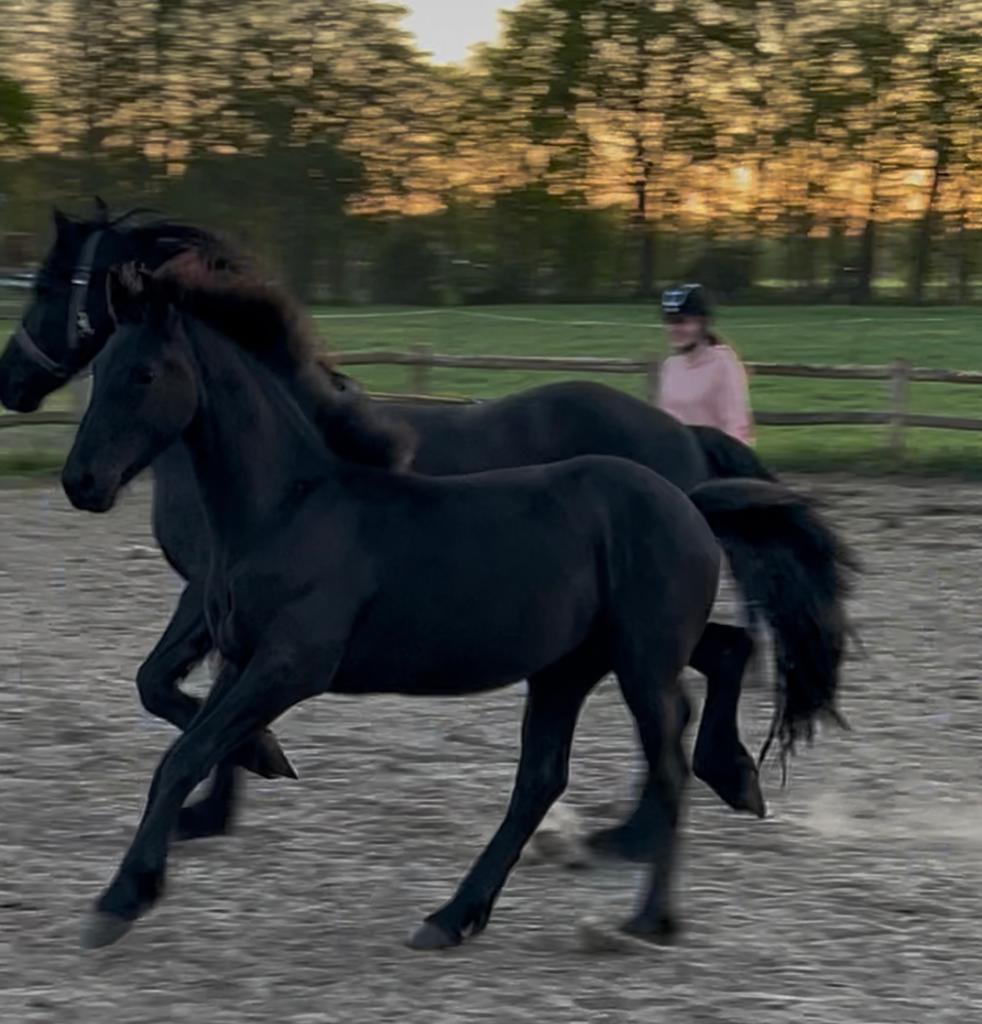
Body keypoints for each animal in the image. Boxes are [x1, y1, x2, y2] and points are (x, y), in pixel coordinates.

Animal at [0, 204, 852, 838]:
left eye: (49, 282)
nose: (10, 379)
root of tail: (682, 437)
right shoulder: (230, 605)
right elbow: (184, 689)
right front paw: (223, 797)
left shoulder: (211, 593)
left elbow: (165, 686)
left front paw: (247, 770)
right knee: (720, 658)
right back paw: (713, 787)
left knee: (703, 672)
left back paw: (671, 808)